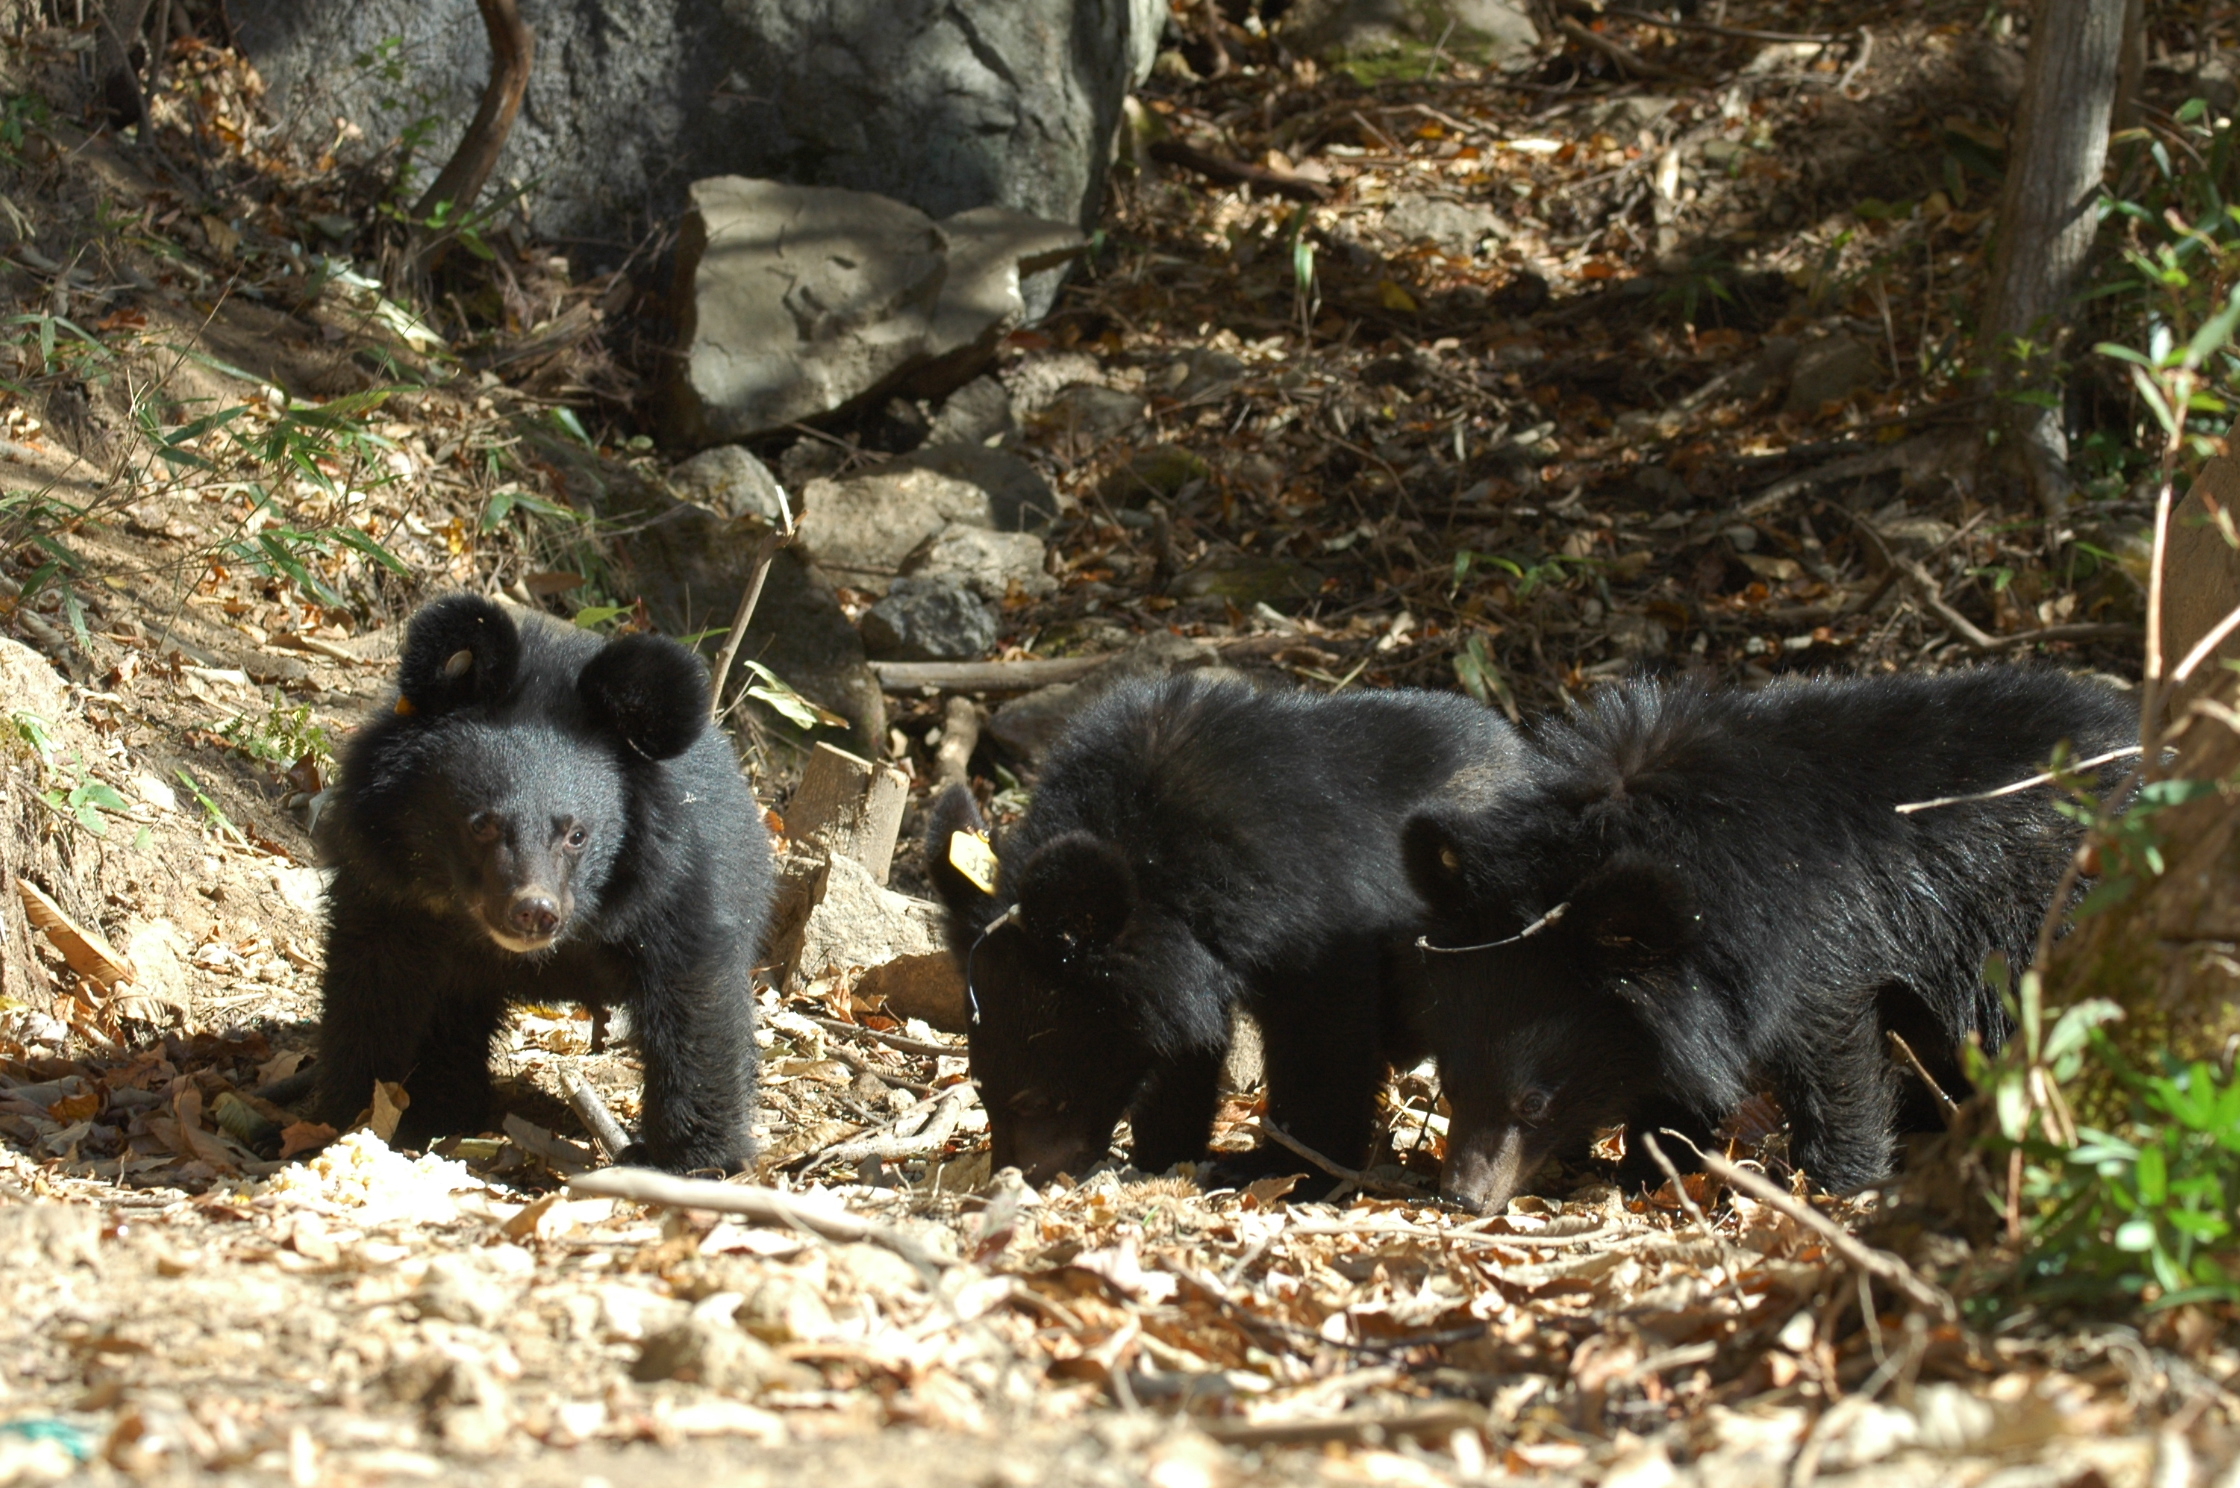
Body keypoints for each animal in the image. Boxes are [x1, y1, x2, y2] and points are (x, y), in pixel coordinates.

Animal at [311, 596, 775, 1174]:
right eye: (482, 825)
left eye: (577, 834)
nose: (534, 911)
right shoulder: (391, 890)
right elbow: (373, 988)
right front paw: (353, 1113)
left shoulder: (673, 888)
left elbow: (694, 1005)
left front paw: (699, 1162)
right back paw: (448, 1107)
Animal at [922, 672, 1523, 1183]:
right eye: (981, 1089)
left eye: (1036, 1099)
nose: (1015, 1177)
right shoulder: (1181, 970)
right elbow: (1183, 1050)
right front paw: (1166, 1155)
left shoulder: (1319, 924)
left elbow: (1325, 1043)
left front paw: (1288, 1169)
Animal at [1397, 667, 2132, 1219]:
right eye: (1452, 1084)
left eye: (1534, 1102)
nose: (1460, 1199)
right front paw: (1653, 1169)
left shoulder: (1821, 948)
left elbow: (1837, 1063)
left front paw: (1834, 1189)